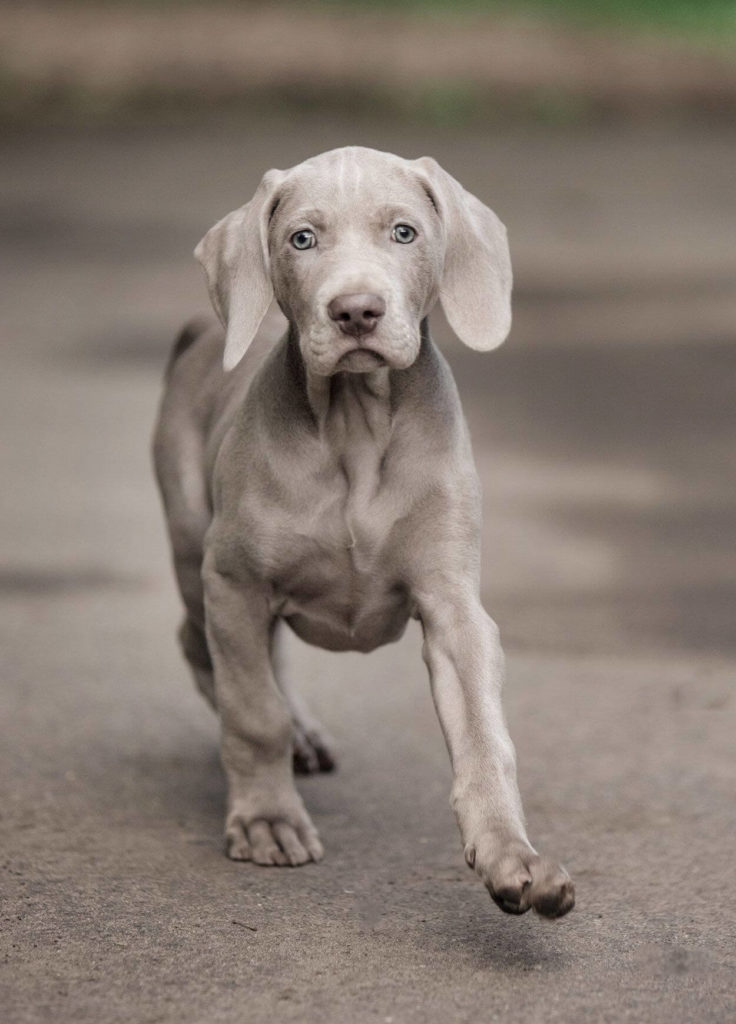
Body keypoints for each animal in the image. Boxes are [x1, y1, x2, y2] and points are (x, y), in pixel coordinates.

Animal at [151, 146, 577, 921]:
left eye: (404, 232)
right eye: (302, 239)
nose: (355, 310)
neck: (353, 424)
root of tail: (201, 334)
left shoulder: (454, 607)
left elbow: (484, 739)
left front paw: (513, 856)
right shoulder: (235, 581)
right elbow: (251, 710)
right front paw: (267, 819)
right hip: (194, 547)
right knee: (212, 652)